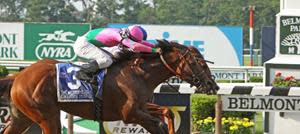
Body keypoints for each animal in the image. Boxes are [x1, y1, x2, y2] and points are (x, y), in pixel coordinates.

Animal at [1, 39, 218, 133]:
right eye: (199, 63)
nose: (213, 85)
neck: (140, 74)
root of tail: (19, 76)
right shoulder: (130, 113)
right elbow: (159, 125)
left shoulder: (142, 107)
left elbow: (167, 113)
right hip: (47, 115)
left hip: (23, 117)